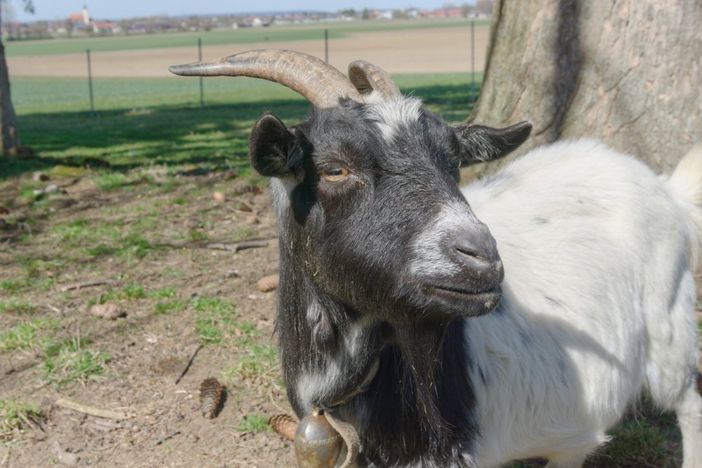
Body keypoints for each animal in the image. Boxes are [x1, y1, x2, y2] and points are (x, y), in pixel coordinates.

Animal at [172, 49, 702, 466]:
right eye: (334, 168)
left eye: (453, 162)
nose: (482, 258)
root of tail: (665, 188)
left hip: (670, 327)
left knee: (689, 401)